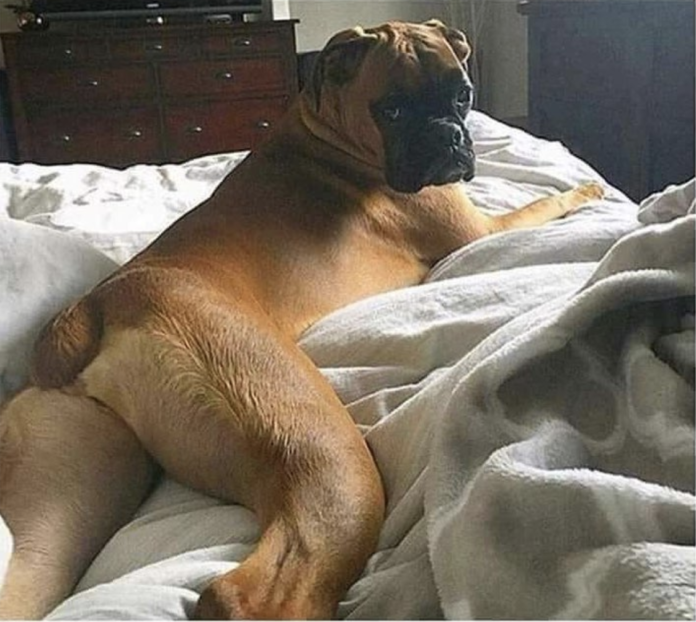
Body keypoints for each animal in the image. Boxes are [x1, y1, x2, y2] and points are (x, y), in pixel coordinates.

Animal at [0, 20, 603, 620]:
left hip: (60, 497)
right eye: (392, 111)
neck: (328, 134)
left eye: (463, 96)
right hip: (322, 451)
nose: (447, 136)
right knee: (257, 586)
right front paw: (585, 188)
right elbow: (543, 204)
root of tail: (96, 306)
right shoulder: (479, 230)